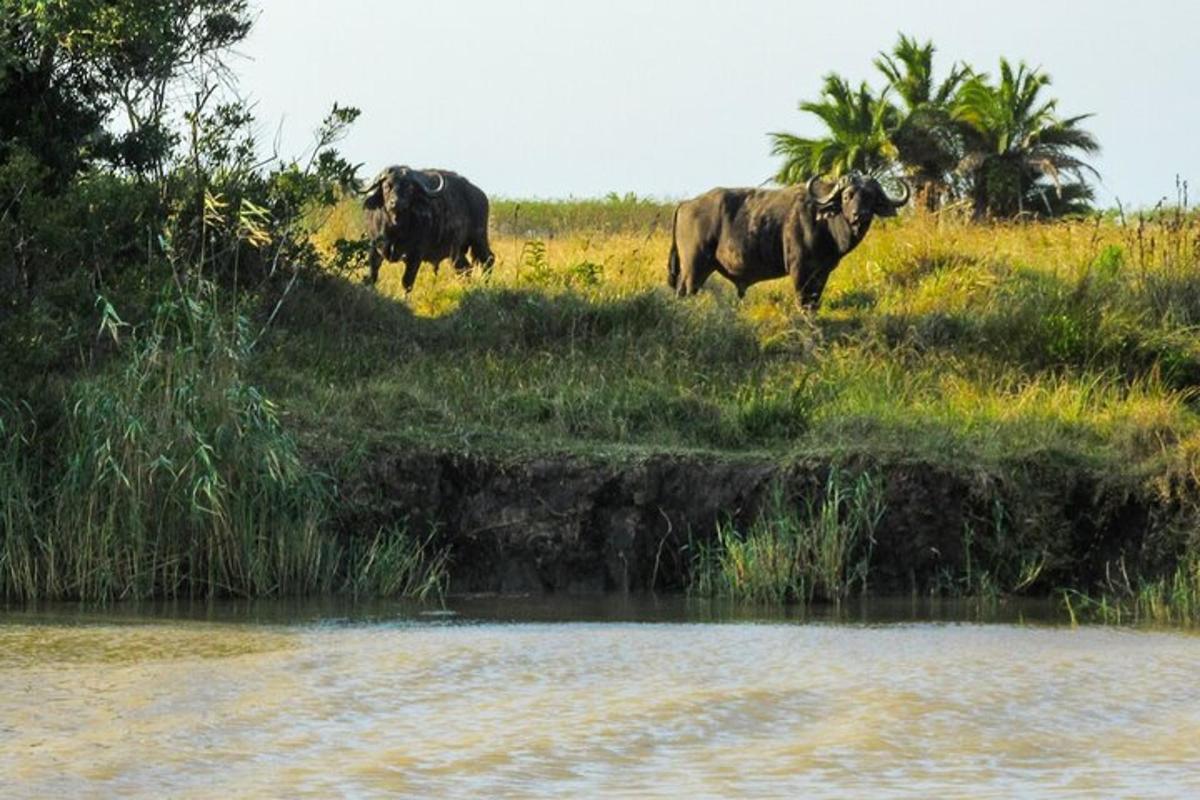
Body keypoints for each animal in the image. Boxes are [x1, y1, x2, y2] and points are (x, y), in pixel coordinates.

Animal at [357, 167, 494, 292]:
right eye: (386, 186)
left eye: (410, 188)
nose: (396, 203)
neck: (394, 229)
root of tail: (480, 195)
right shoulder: (374, 249)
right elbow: (372, 276)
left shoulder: (415, 256)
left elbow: (407, 283)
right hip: (457, 251)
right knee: (465, 269)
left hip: (479, 239)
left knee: (488, 260)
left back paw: (485, 287)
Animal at [667, 173, 907, 309]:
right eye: (848, 196)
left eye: (870, 197)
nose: (860, 215)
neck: (823, 220)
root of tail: (686, 204)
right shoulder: (799, 270)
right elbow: (803, 301)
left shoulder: (822, 273)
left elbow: (814, 302)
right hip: (693, 269)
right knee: (683, 293)